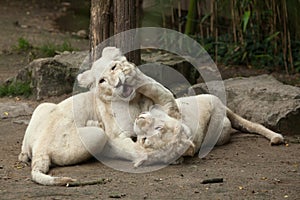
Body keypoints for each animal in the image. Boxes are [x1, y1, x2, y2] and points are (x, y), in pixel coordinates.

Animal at [18, 46, 180, 184]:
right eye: (102, 81)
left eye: (113, 68)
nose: (118, 83)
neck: (134, 99)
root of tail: (40, 149)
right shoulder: (116, 135)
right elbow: (135, 148)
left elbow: (164, 95)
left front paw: (133, 72)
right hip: (98, 136)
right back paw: (96, 125)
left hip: (43, 106)